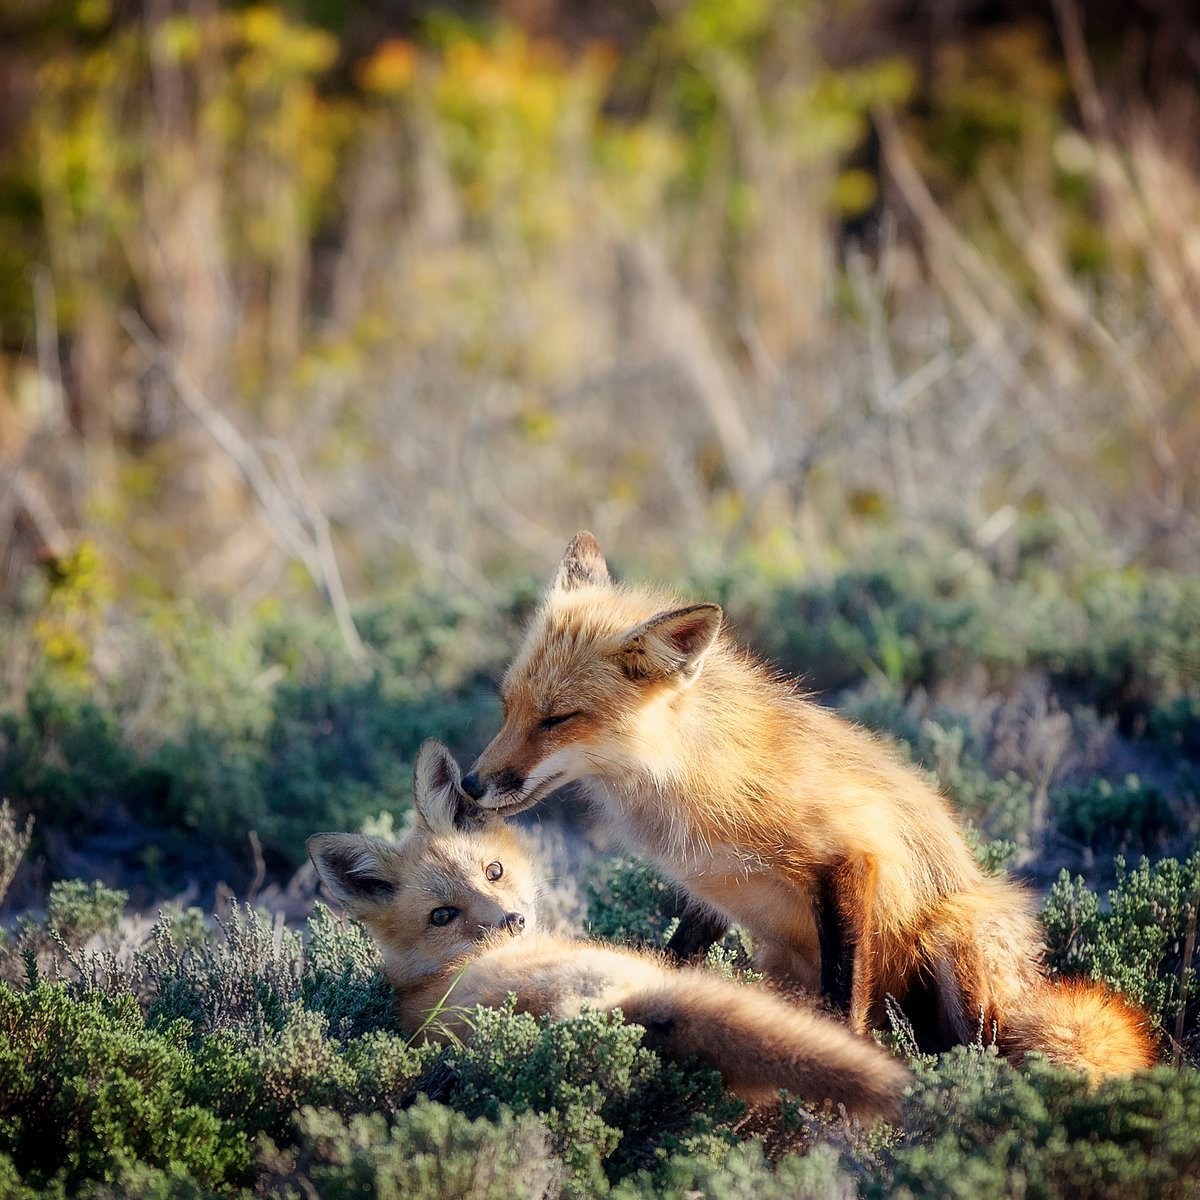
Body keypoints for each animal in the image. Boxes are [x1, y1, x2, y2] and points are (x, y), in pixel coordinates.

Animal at [458, 531, 1156, 1077]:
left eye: (557, 720)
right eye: (507, 705)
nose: (469, 786)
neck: (686, 779)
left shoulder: (851, 856)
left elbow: (843, 1002)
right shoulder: (711, 891)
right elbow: (673, 960)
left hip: (956, 937)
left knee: (980, 1048)